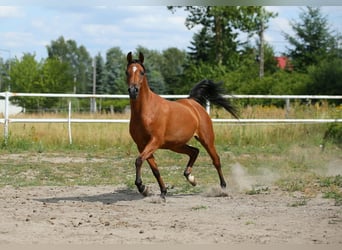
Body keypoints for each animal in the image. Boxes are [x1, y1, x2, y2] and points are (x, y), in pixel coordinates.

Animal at [125, 51, 238, 199]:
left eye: (142, 72)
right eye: (127, 72)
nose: (133, 90)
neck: (146, 111)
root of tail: (192, 102)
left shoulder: (154, 141)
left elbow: (138, 161)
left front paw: (141, 186)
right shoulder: (142, 145)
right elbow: (154, 169)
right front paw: (161, 191)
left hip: (206, 139)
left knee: (216, 160)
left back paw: (223, 188)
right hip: (175, 145)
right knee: (194, 151)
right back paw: (191, 178)